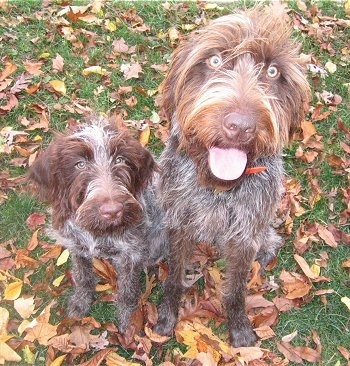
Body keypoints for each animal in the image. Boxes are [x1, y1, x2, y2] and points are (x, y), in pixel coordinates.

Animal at [154, 7, 308, 348]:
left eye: (273, 71)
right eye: (213, 60)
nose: (240, 126)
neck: (220, 189)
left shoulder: (244, 235)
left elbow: (236, 288)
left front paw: (238, 324)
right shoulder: (178, 224)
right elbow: (174, 276)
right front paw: (167, 312)